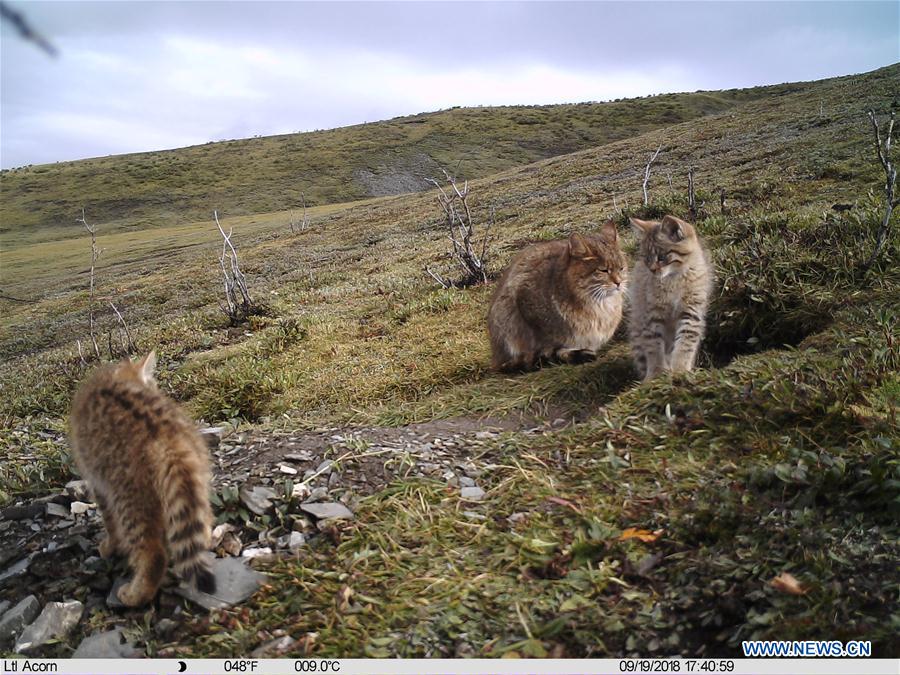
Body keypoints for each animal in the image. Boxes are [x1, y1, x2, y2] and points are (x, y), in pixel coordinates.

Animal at [69, 352, 216, 608]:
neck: (117, 376)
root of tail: (166, 436)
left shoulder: (99, 483)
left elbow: (110, 522)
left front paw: (110, 546)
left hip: (129, 497)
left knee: (153, 553)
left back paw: (135, 593)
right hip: (194, 480)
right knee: (202, 519)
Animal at [486, 222, 624, 372]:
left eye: (621, 268)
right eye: (603, 270)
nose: (619, 282)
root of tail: (495, 357)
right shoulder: (524, 297)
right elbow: (547, 343)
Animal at [628, 215, 712, 380]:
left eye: (662, 257)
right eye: (647, 258)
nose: (652, 270)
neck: (673, 279)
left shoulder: (691, 312)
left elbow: (685, 343)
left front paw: (680, 370)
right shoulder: (652, 315)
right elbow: (654, 347)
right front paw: (657, 374)